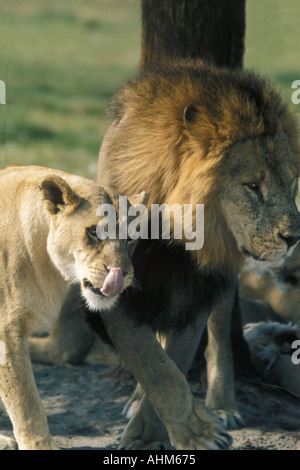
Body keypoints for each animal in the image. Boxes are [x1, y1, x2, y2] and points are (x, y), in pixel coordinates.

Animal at [0, 164, 141, 448]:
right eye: (93, 232)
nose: (121, 274)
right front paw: (40, 445)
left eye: (131, 238)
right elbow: (25, 399)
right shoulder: (6, 331)